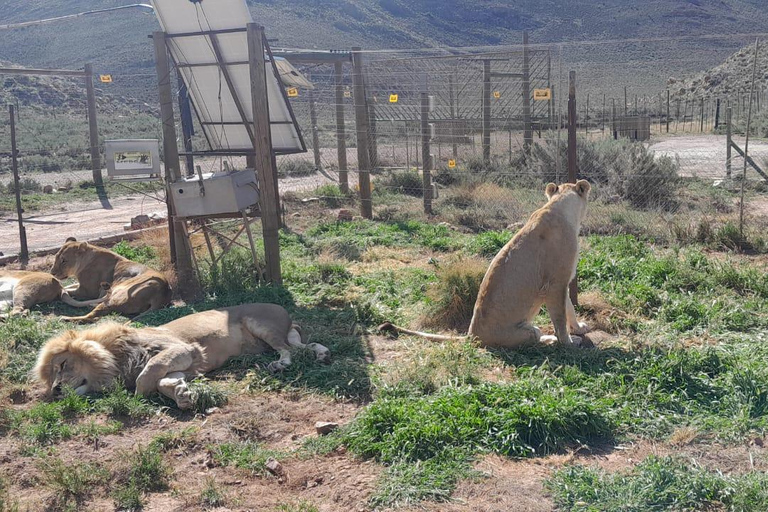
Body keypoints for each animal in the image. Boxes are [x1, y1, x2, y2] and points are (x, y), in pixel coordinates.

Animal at [33, 304, 330, 408]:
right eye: (51, 377)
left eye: (62, 364)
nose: (56, 390)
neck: (116, 359)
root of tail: (284, 311)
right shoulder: (185, 366)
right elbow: (163, 380)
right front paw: (181, 394)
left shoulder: (183, 349)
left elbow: (147, 375)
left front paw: (140, 394)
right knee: (304, 344)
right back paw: (322, 353)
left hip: (260, 325)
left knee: (289, 350)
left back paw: (280, 364)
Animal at [380, 180, 592, 348]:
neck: (560, 205)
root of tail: (472, 335)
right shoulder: (556, 283)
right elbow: (560, 317)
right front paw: (569, 342)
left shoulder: (560, 283)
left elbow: (569, 308)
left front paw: (578, 328)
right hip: (529, 330)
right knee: (536, 336)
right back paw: (551, 339)